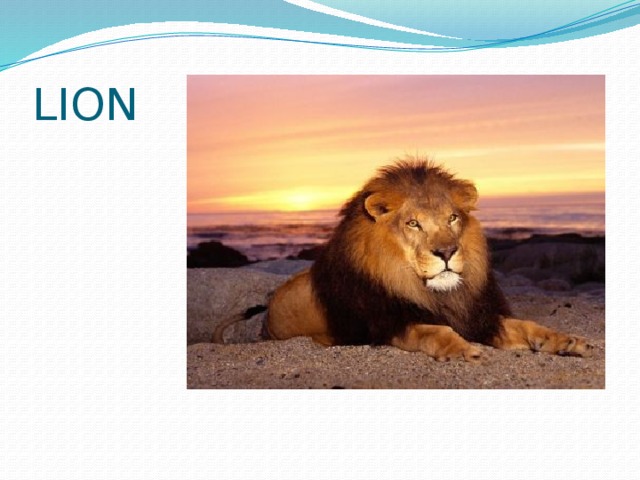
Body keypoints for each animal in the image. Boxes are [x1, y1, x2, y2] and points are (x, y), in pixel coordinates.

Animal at [253, 158, 594, 362]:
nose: (446, 252)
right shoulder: (386, 324)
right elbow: (432, 331)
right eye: (413, 223)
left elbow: (529, 326)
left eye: (452, 218)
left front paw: (569, 341)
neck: (436, 294)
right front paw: (463, 349)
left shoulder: (477, 317)